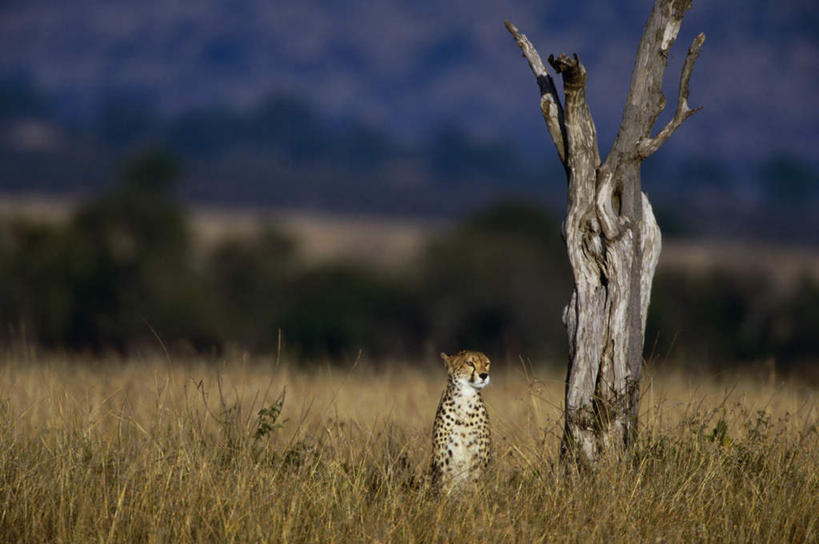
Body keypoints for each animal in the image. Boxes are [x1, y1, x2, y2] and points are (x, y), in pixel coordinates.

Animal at [430, 350, 494, 490]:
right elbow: (445, 487)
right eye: (470, 363)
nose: (484, 375)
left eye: (486, 363)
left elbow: (476, 486)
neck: (466, 397)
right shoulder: (443, 462)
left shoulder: (480, 460)